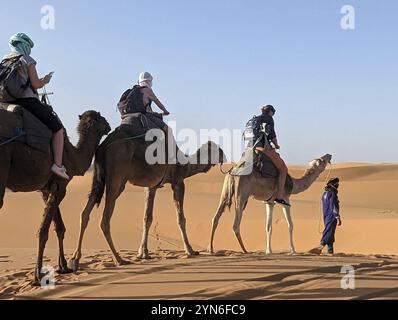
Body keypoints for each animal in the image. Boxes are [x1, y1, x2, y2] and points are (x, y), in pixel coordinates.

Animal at [0, 110, 111, 282]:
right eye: (101, 118)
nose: (109, 126)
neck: (72, 157)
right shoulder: (60, 187)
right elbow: (44, 231)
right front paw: (38, 275)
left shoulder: (47, 190)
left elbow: (59, 228)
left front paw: (64, 266)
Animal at [68, 127, 224, 270]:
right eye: (219, 151)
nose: (224, 157)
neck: (184, 165)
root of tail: (103, 145)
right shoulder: (178, 182)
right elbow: (181, 219)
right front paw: (190, 250)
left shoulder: (151, 186)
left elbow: (147, 218)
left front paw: (143, 253)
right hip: (117, 176)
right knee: (105, 219)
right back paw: (119, 259)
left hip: (100, 178)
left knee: (85, 212)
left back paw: (75, 259)